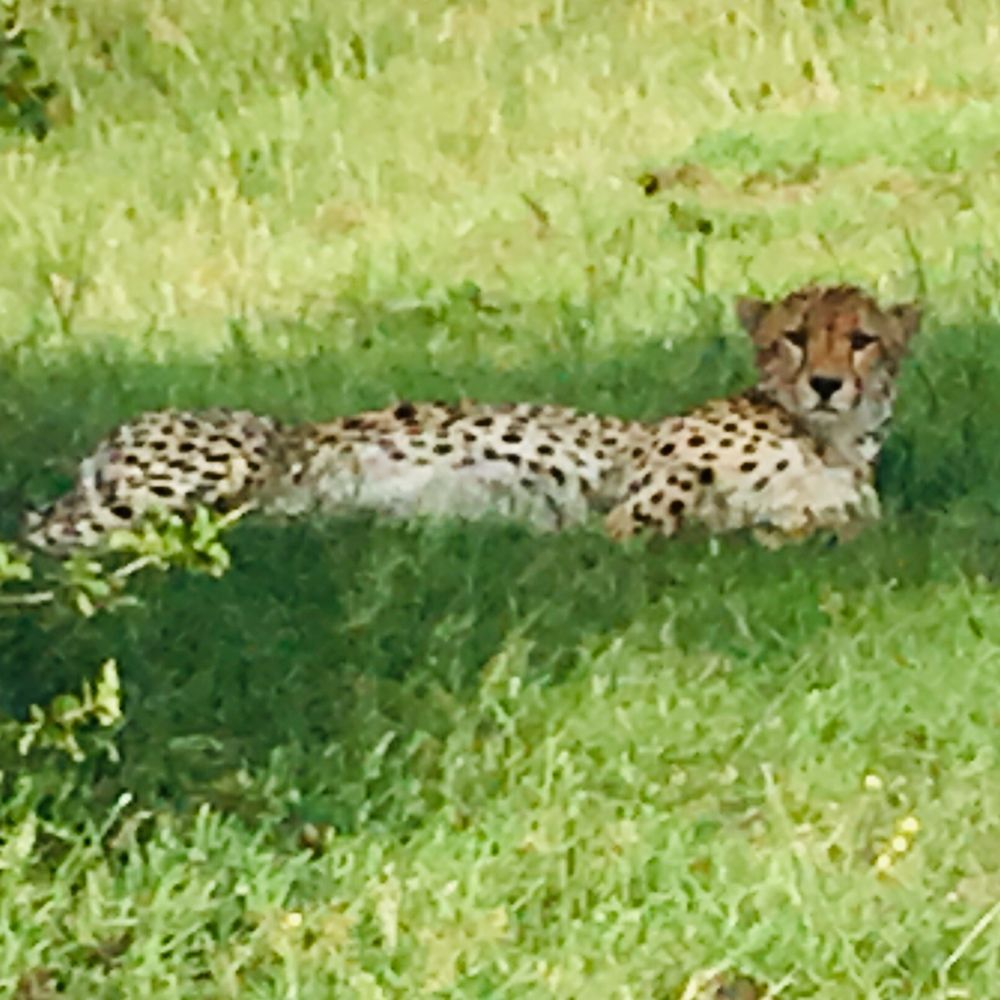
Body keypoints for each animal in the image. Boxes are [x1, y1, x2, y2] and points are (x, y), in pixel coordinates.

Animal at [21, 284, 920, 556]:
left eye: (862, 340)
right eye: (795, 337)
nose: (828, 384)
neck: (828, 441)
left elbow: (841, 520)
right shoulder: (651, 473)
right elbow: (640, 519)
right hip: (201, 475)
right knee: (39, 539)